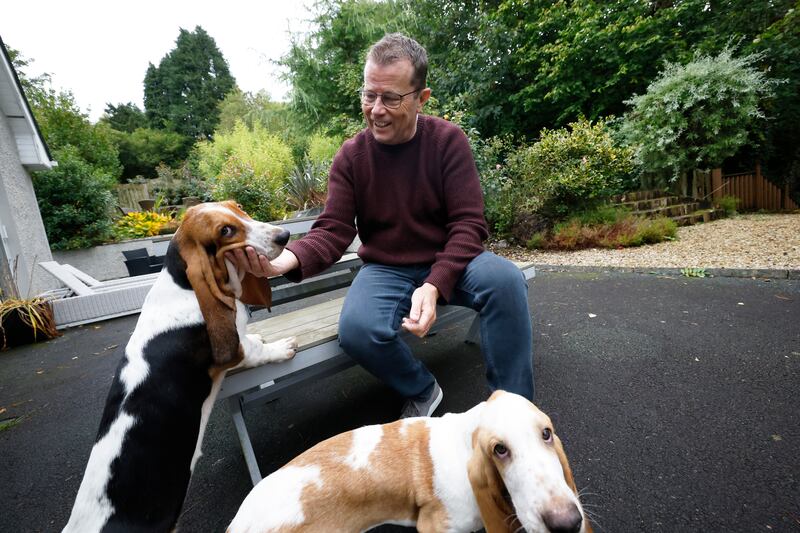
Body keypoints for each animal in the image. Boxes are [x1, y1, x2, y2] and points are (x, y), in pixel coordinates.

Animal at [63, 201, 296, 532]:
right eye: (226, 231)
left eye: (238, 207)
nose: (283, 236)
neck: (181, 286)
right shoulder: (237, 351)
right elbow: (256, 349)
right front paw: (281, 347)